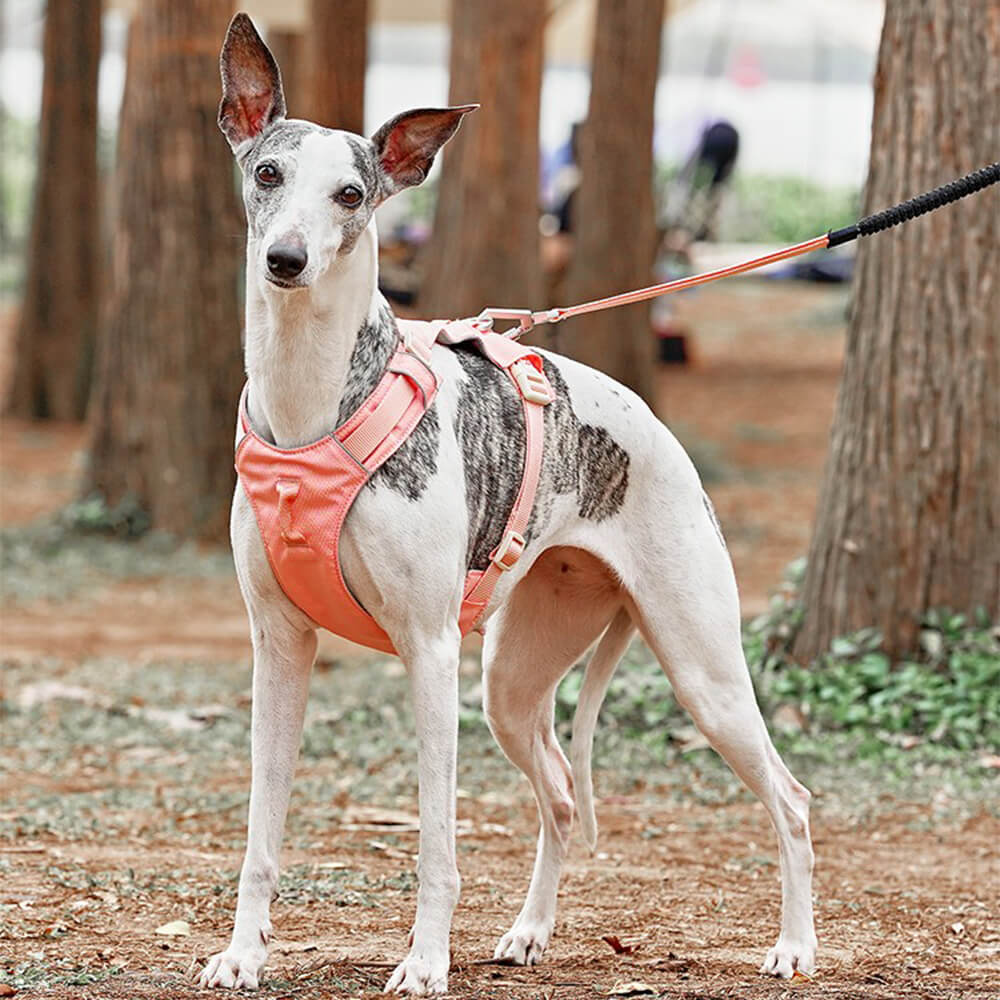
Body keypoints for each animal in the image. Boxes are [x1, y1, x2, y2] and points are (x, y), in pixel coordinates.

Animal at [199, 11, 816, 996]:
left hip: (701, 667)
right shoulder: (279, 645)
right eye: (267, 174)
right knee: (561, 794)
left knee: (789, 799)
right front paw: (244, 953)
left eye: (351, 194)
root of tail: (657, 427)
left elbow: (437, 842)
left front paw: (422, 962)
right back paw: (529, 932)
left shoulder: (429, 648)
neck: (310, 409)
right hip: (513, 683)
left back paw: (795, 946)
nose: (285, 261)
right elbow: (262, 830)